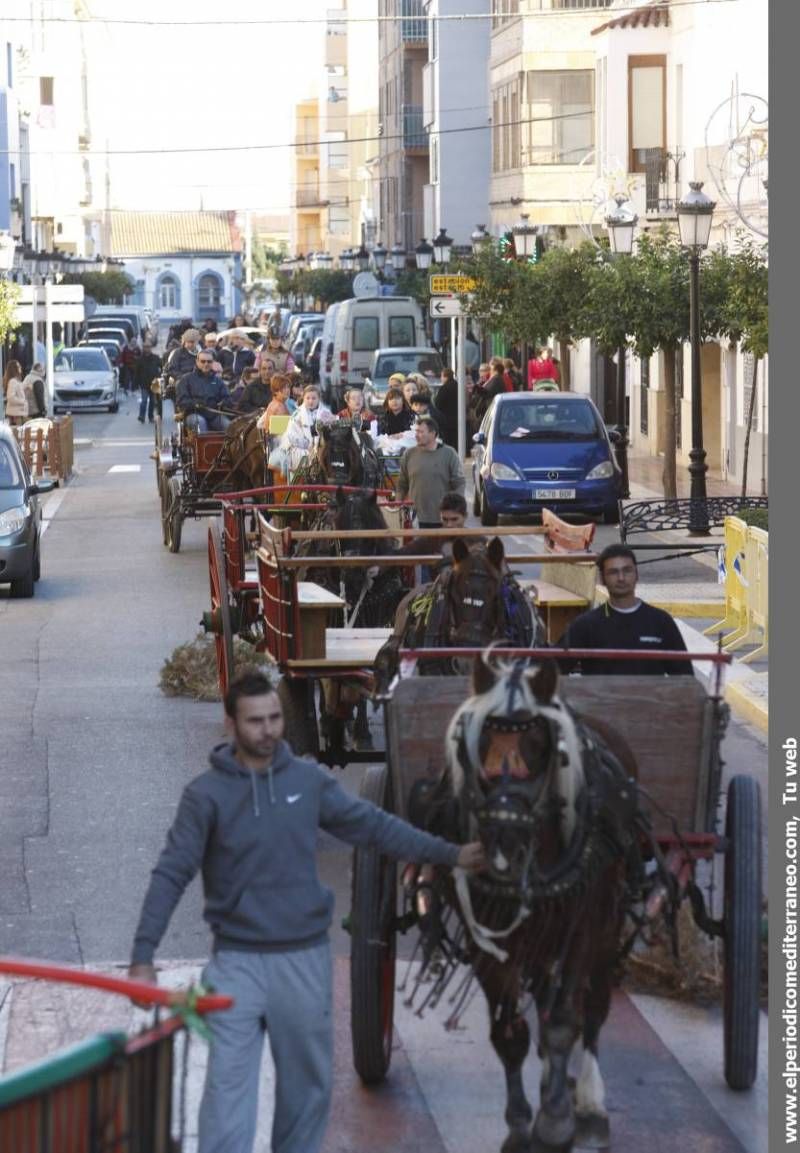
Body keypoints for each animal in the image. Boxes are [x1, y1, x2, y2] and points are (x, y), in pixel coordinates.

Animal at [410, 659, 640, 1153]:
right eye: (475, 744)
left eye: (539, 745)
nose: (504, 845)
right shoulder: (486, 939)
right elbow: (510, 1032)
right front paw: (520, 1124)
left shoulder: (584, 928)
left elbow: (565, 1022)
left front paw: (555, 1121)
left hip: (608, 923)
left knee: (593, 1006)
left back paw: (588, 1102)